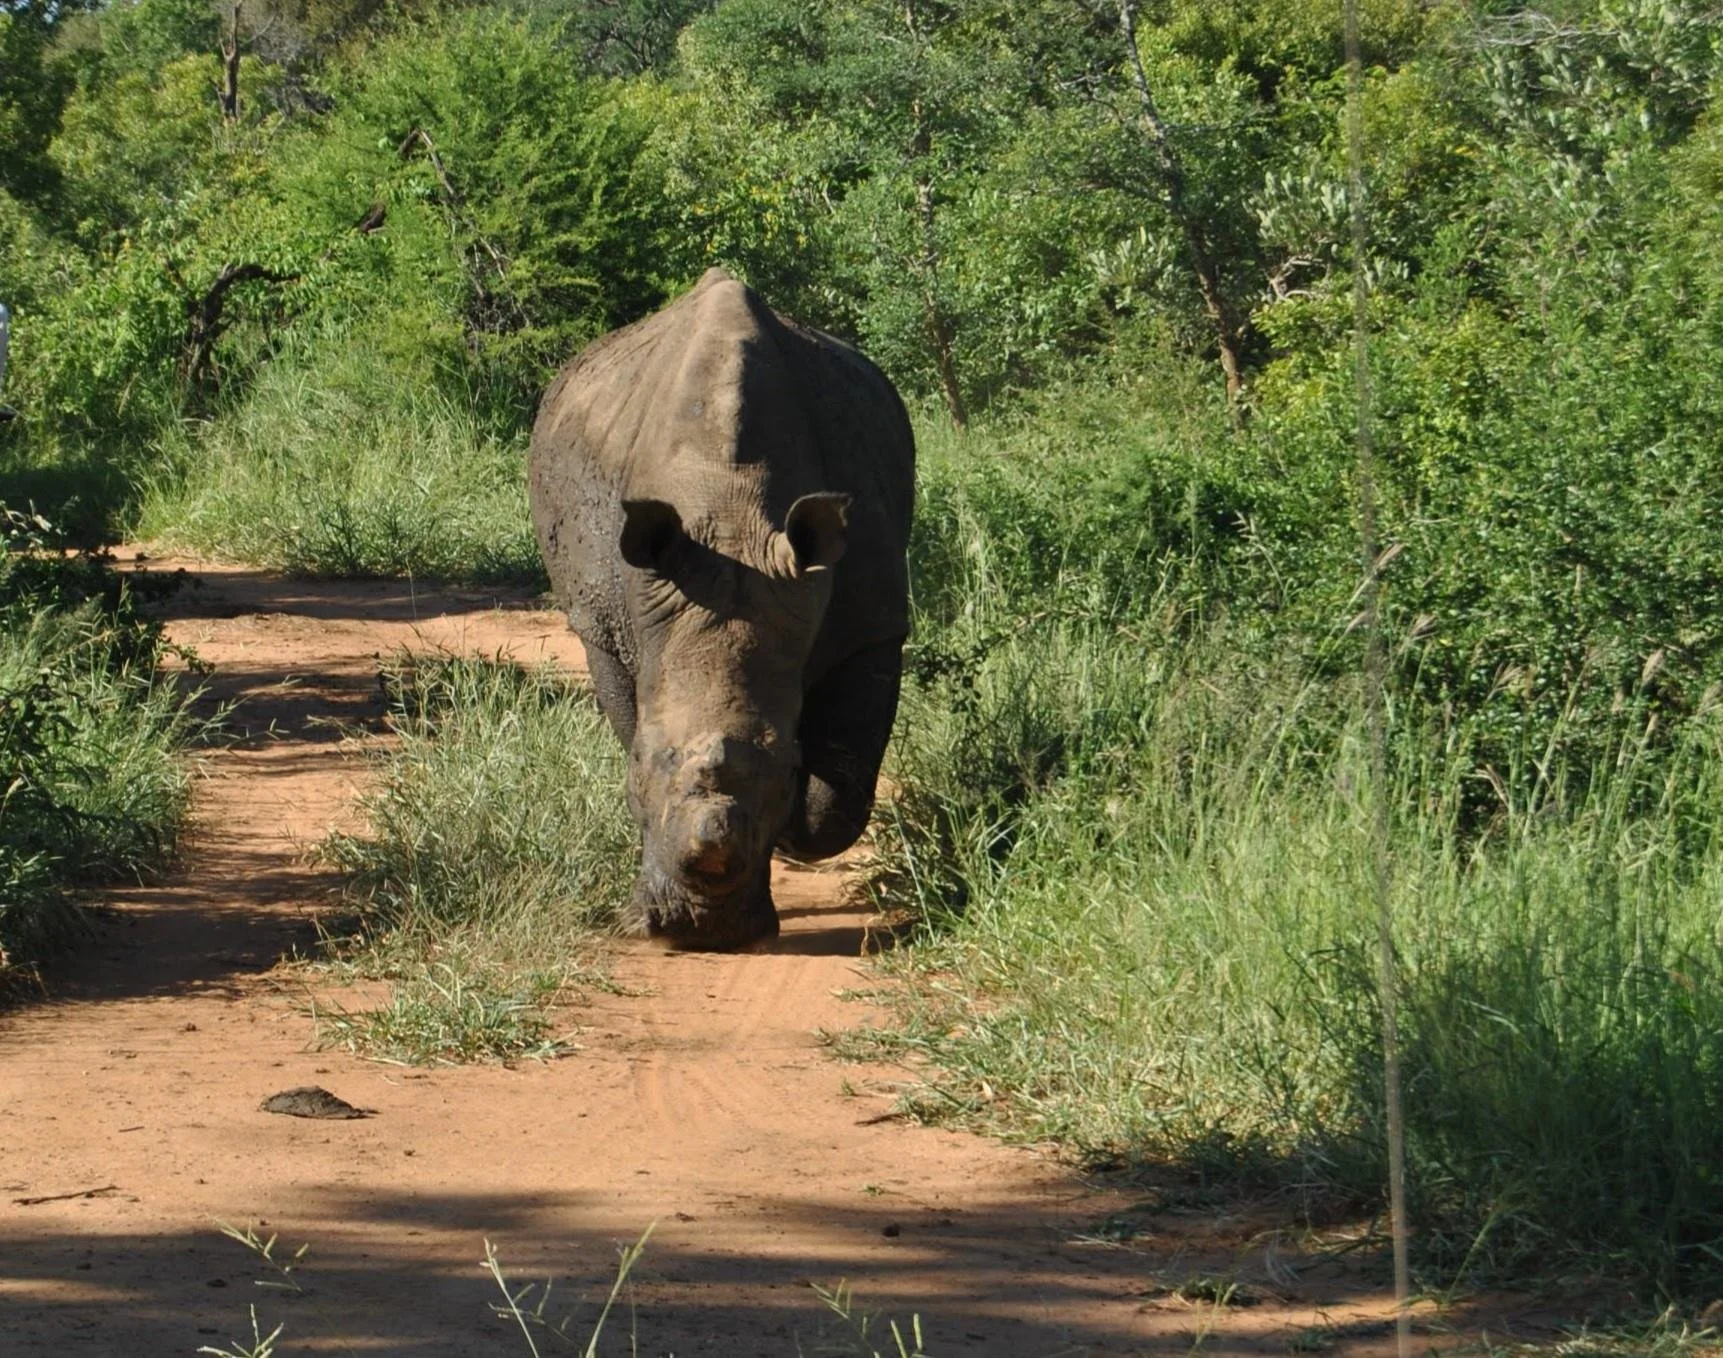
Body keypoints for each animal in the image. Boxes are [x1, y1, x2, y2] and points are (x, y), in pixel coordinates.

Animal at [528, 268, 914, 949]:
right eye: (639, 764)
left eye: (786, 762)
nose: (704, 933)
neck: (731, 515)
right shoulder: (608, 622)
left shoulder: (873, 625)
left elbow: (837, 803)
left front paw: (789, 833)